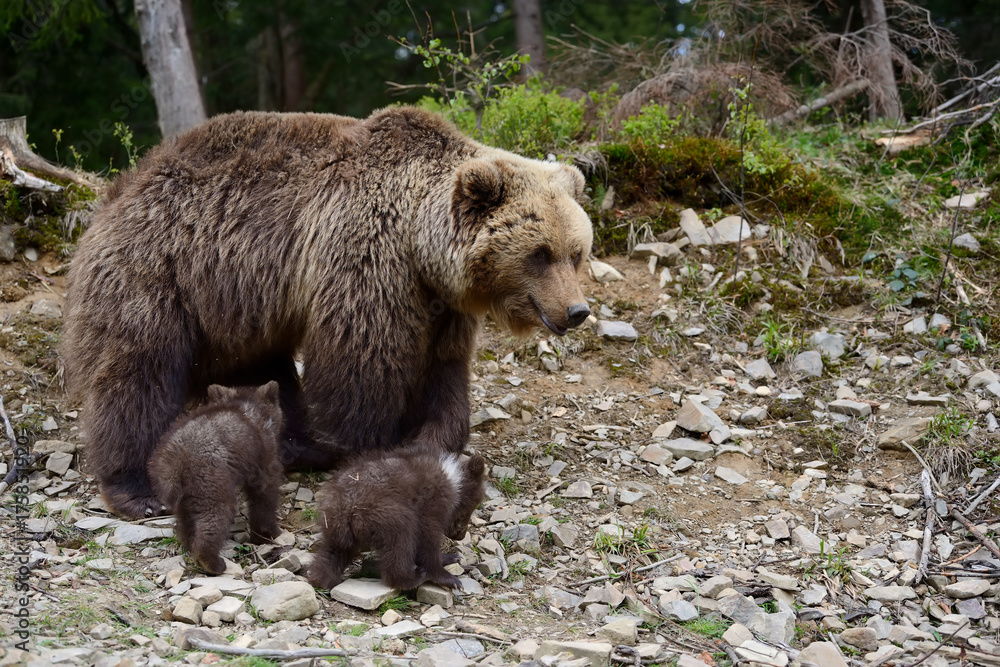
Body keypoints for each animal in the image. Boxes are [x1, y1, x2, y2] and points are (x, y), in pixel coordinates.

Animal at [62, 107, 592, 520]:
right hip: (161, 275)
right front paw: (362, 442)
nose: (577, 310)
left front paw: (432, 436)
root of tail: (117, 193)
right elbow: (361, 364)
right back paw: (136, 486)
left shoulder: (438, 304)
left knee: (259, 371)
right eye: (540, 253)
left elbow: (442, 370)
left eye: (576, 252)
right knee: (137, 373)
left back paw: (285, 441)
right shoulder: (366, 256)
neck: (420, 244)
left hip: (235, 307)